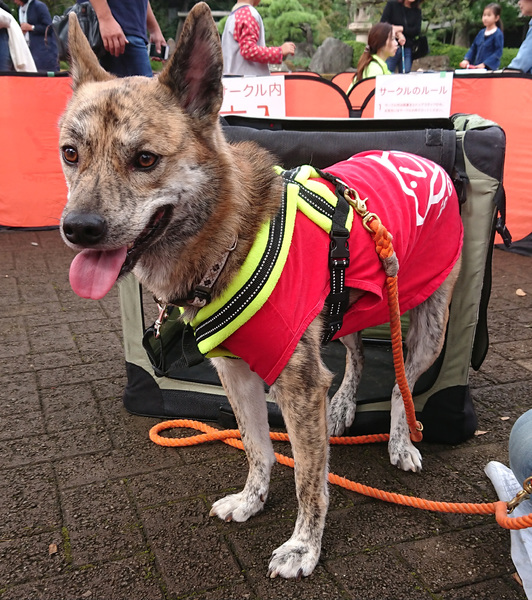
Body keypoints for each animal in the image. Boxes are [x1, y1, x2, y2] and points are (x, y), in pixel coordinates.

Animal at [59, 3, 463, 580]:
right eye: (71, 154)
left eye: (145, 160)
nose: (79, 229)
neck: (229, 237)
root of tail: (426, 163)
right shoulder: (236, 372)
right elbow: (258, 449)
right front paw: (252, 500)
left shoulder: (297, 385)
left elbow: (309, 481)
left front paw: (303, 546)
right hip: (348, 309)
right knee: (358, 357)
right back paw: (344, 405)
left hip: (426, 322)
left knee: (400, 385)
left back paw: (401, 440)